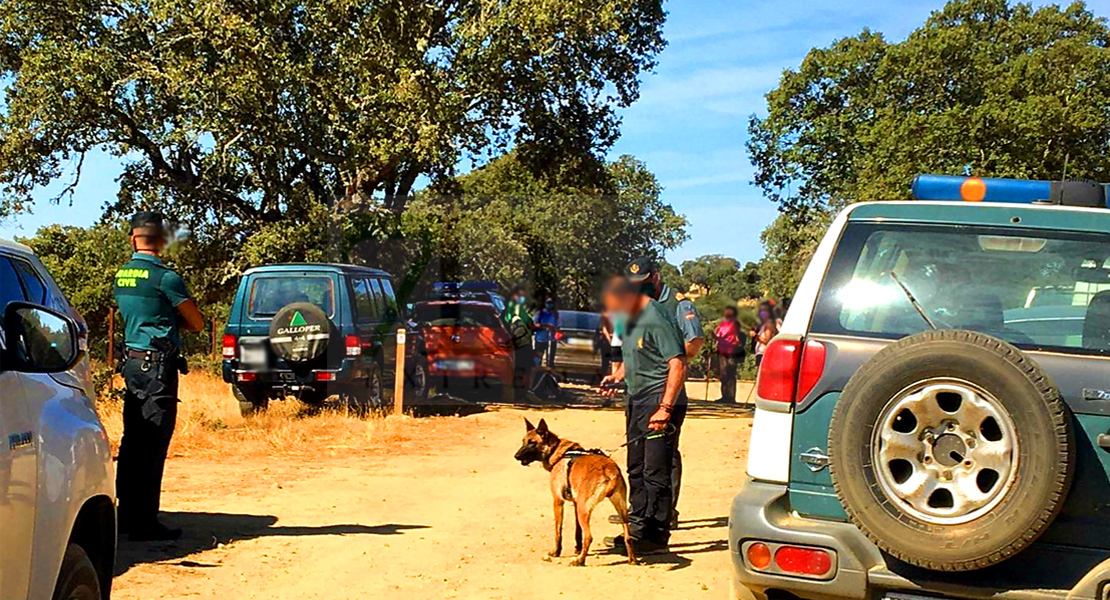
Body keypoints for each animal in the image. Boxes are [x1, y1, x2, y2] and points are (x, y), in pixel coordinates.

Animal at [510, 417, 634, 565]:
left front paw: (556, 552)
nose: (516, 456)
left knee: (589, 536)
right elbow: (577, 531)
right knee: (628, 536)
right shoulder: (575, 503)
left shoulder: (558, 501)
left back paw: (579, 560)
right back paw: (632, 560)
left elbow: (558, 530)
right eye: (523, 441)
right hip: (619, 510)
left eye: (532, 443)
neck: (558, 452)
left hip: (583, 509)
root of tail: (608, 469)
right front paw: (577, 548)